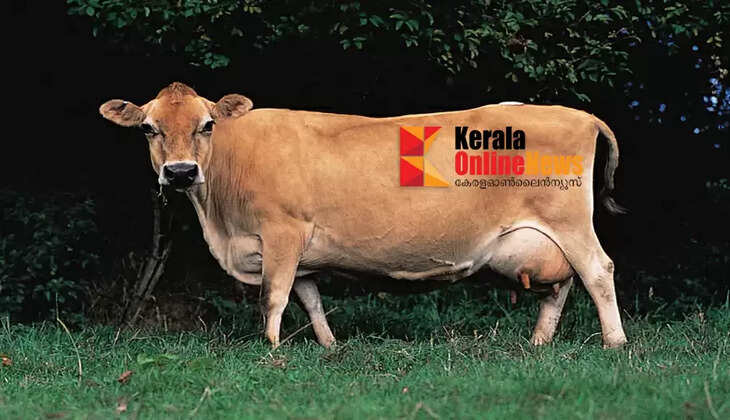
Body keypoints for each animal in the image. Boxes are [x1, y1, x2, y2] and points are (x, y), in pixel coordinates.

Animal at [100, 82, 627, 349]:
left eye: (207, 124)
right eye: (148, 128)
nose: (181, 172)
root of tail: (578, 114)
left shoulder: (283, 231)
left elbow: (273, 295)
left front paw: (270, 350)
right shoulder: (301, 250)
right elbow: (308, 298)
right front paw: (329, 347)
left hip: (570, 223)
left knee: (598, 271)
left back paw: (614, 342)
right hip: (545, 239)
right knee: (561, 285)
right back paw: (539, 343)